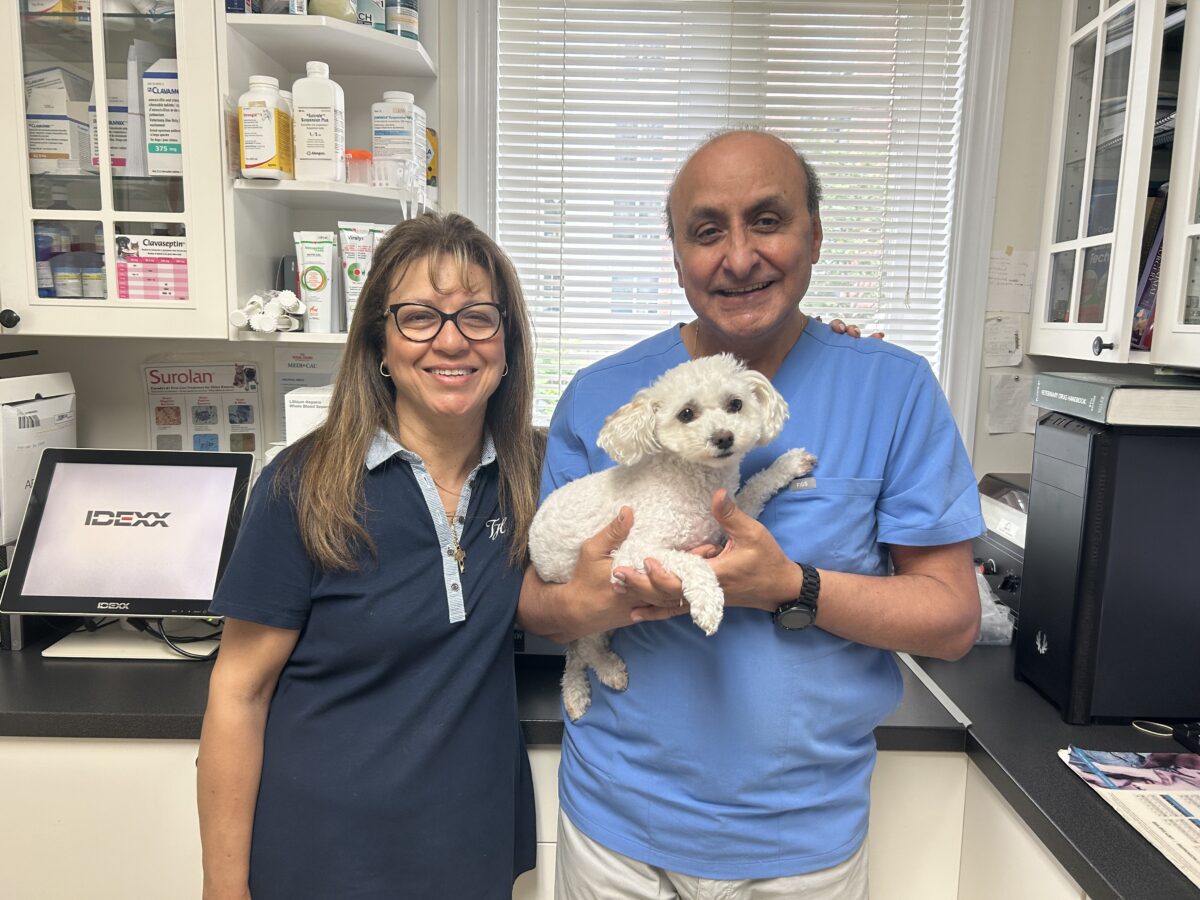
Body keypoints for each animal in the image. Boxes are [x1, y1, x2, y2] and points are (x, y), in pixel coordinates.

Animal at [532, 350, 816, 720]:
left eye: (735, 404)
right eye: (686, 413)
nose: (723, 437)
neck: (692, 480)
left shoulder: (725, 522)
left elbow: (755, 488)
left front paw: (788, 464)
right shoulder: (631, 553)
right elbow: (691, 563)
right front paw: (708, 603)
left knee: (576, 652)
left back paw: (577, 690)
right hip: (586, 602)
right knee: (583, 647)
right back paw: (601, 674)